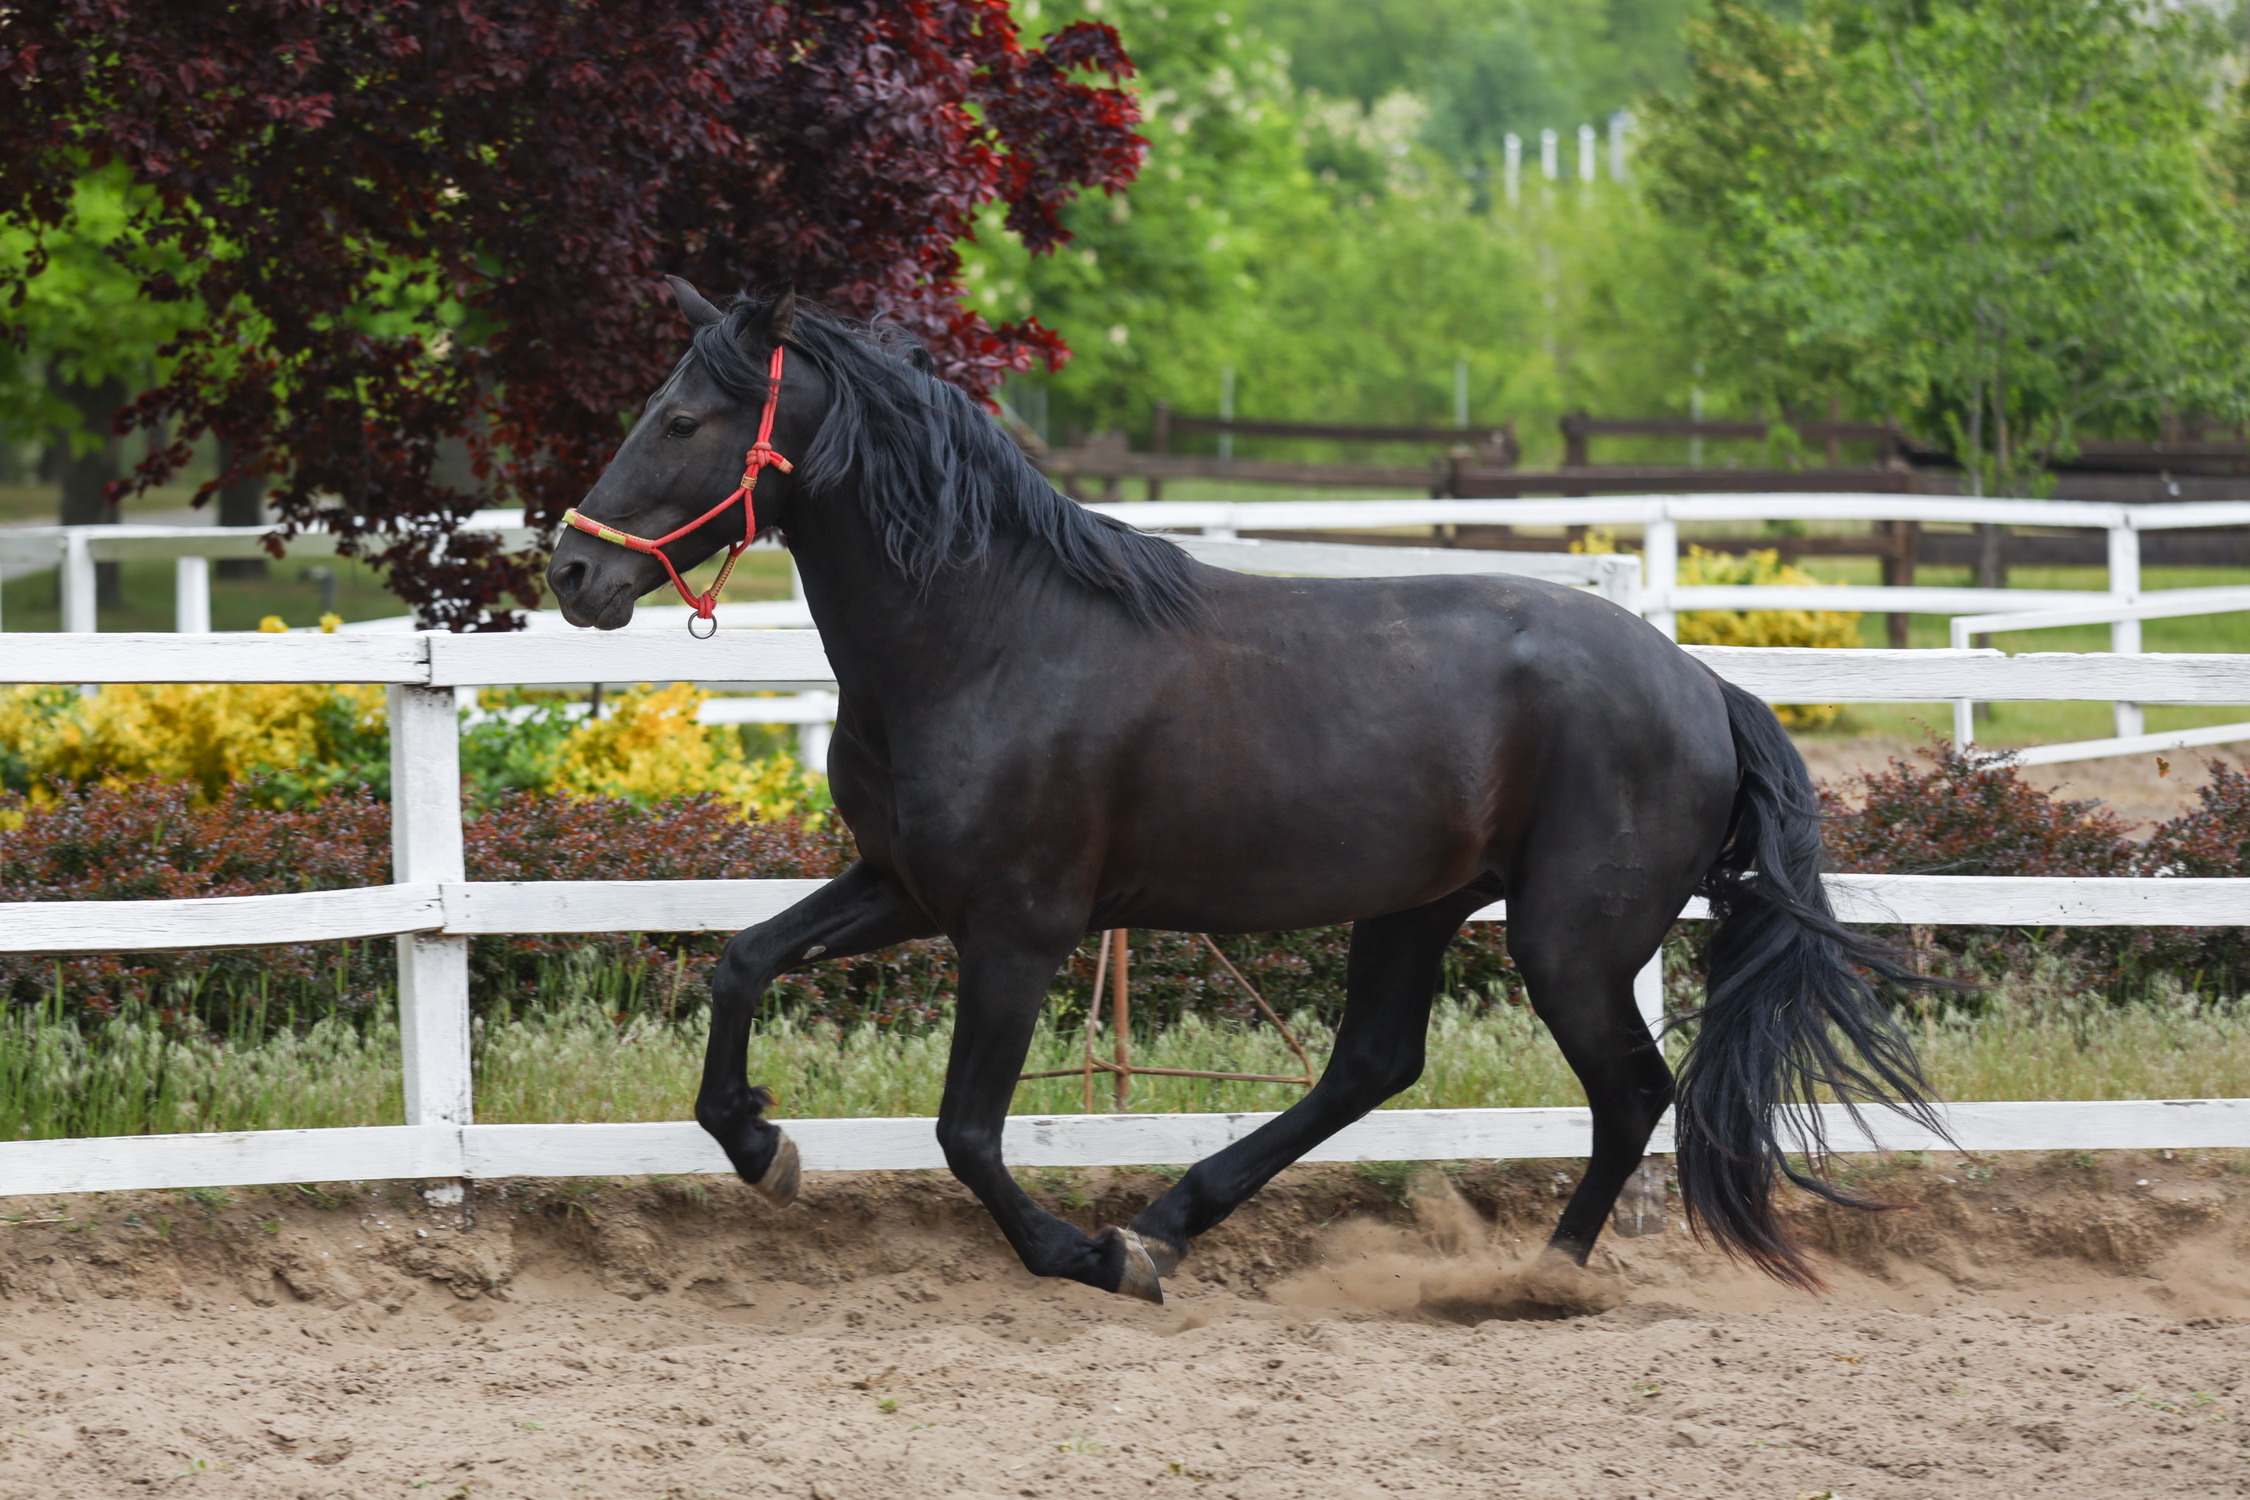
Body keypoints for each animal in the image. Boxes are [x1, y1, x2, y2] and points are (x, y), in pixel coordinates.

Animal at [549, 281, 1935, 1304]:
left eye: (685, 421)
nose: (571, 571)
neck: (986, 635)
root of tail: (1701, 684)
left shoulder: (1020, 927)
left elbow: (967, 1131)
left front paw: (1081, 1255)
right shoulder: (907, 888)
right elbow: (742, 962)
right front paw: (761, 1145)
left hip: (1568, 940)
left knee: (1629, 1094)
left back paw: (1536, 1275)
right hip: (1420, 906)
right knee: (1372, 1064)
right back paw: (1175, 1216)